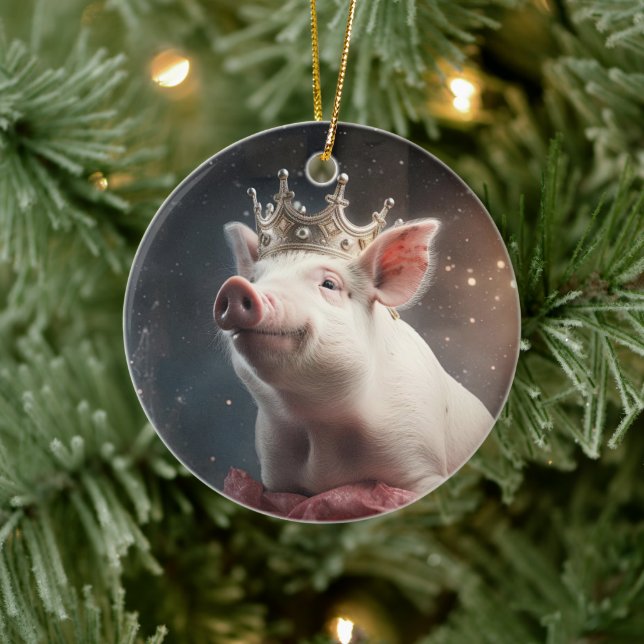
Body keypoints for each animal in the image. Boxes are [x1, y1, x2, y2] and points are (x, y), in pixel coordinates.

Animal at [214, 218, 494, 497]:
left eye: (329, 284)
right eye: (254, 279)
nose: (235, 286)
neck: (319, 426)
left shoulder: (423, 463)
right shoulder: (276, 476)